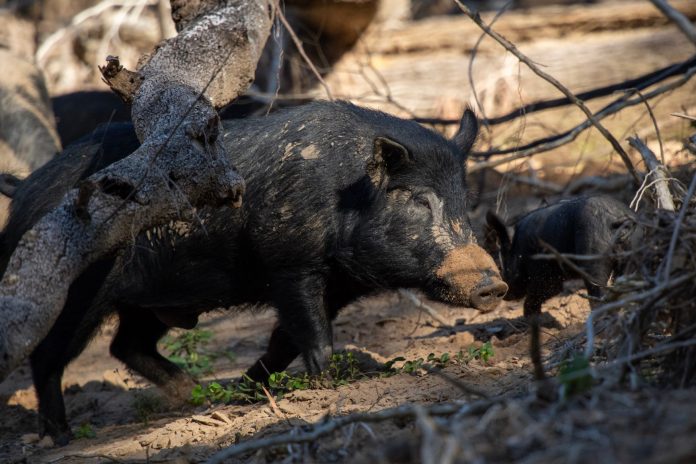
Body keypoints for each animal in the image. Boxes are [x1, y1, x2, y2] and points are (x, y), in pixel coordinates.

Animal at [2, 100, 508, 442]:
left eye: (464, 200)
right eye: (420, 201)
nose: (495, 285)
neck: (342, 195)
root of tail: (25, 189)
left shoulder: (335, 285)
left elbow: (284, 342)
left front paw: (249, 392)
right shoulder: (290, 265)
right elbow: (313, 337)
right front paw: (328, 387)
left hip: (150, 301)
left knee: (125, 344)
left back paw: (199, 395)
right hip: (74, 292)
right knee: (48, 356)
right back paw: (61, 435)